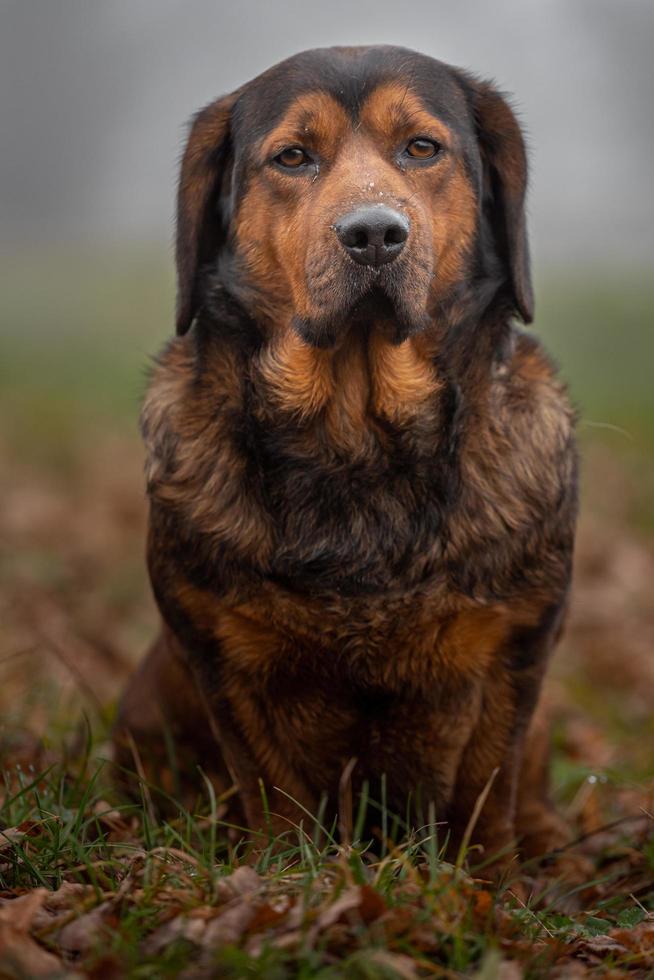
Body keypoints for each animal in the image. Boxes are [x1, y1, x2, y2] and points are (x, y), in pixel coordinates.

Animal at [114, 46, 580, 864]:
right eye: (293, 157)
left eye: (421, 147)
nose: (373, 234)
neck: (361, 437)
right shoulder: (223, 655)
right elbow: (275, 790)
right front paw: (285, 875)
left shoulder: (517, 647)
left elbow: (487, 785)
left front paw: (488, 883)